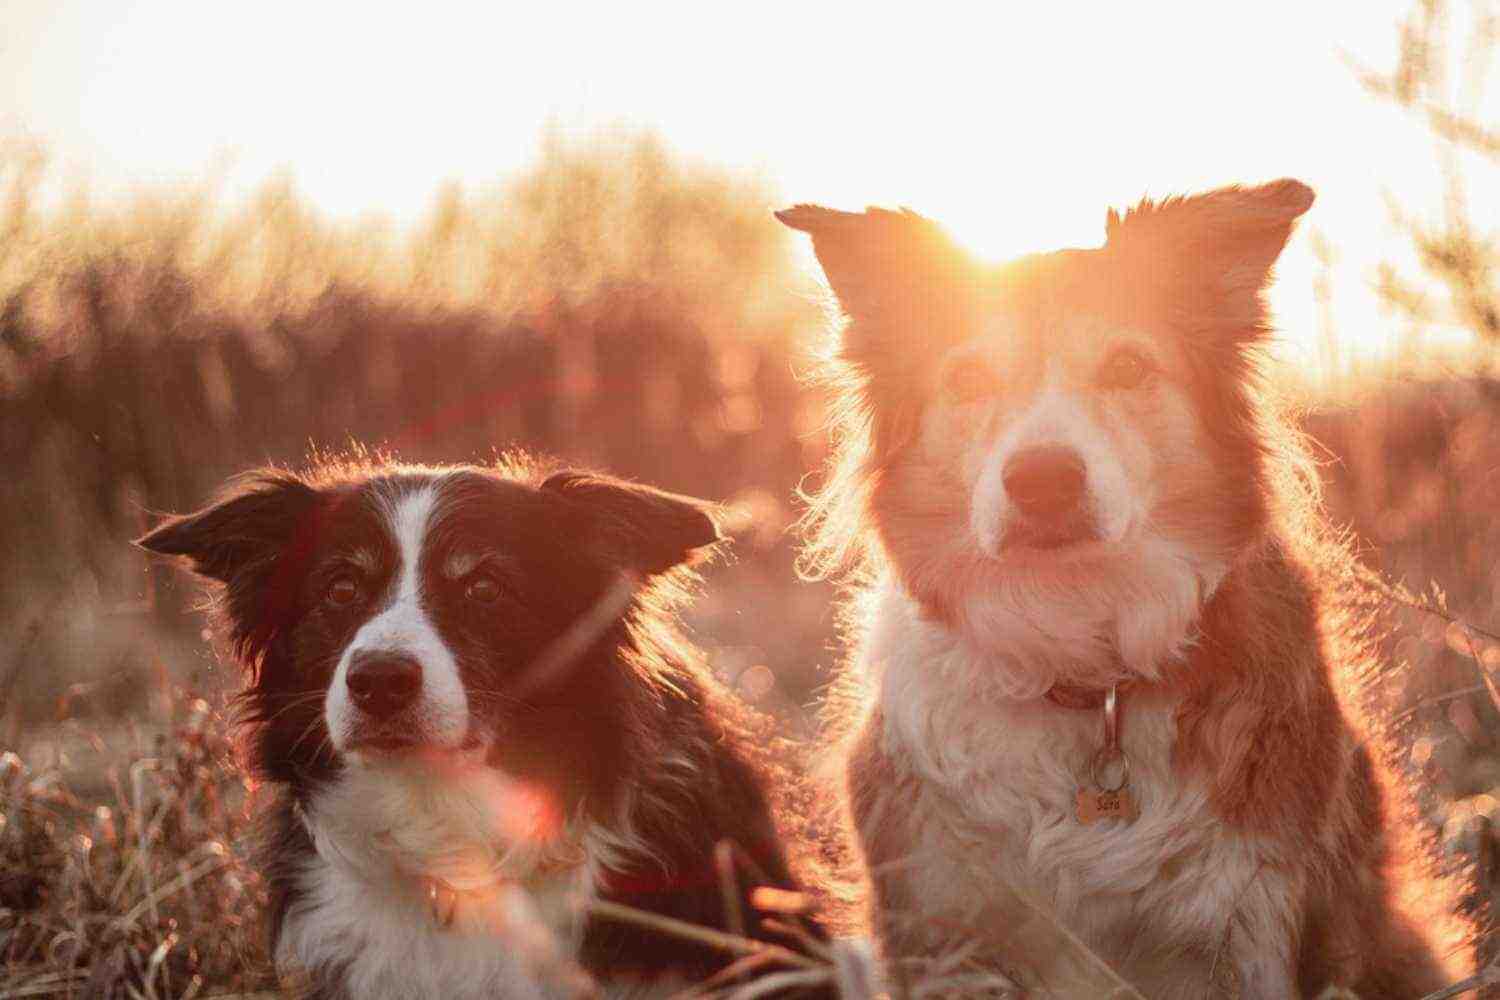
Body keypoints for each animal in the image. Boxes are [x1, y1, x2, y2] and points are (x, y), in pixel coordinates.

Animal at [780, 183, 1482, 995]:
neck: (1084, 668)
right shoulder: (943, 926)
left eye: (1125, 367)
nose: (1043, 480)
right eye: (968, 380)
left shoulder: (1252, 925)